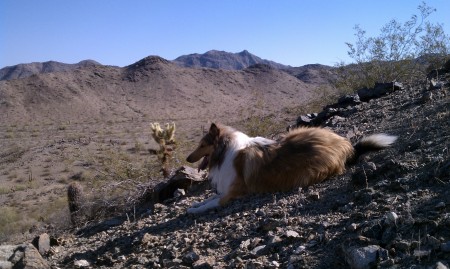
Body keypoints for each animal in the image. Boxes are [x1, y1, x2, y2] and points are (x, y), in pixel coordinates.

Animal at [185, 122, 396, 213]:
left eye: (202, 145)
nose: (187, 158)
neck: (224, 151)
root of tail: (347, 147)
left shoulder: (233, 193)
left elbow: (212, 202)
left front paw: (193, 210)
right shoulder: (226, 189)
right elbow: (209, 198)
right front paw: (195, 204)